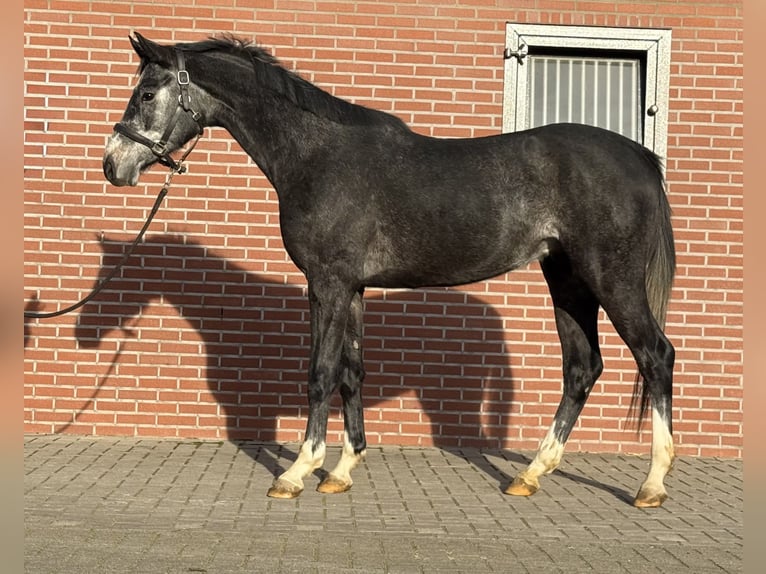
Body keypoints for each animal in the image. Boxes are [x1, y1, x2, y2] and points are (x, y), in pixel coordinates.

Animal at [103, 33, 676, 508]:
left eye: (147, 94)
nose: (113, 165)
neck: (317, 155)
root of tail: (640, 158)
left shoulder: (328, 285)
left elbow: (320, 374)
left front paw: (297, 472)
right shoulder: (352, 289)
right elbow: (352, 373)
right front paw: (341, 470)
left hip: (611, 280)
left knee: (655, 356)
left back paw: (651, 485)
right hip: (568, 281)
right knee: (582, 367)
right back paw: (530, 474)